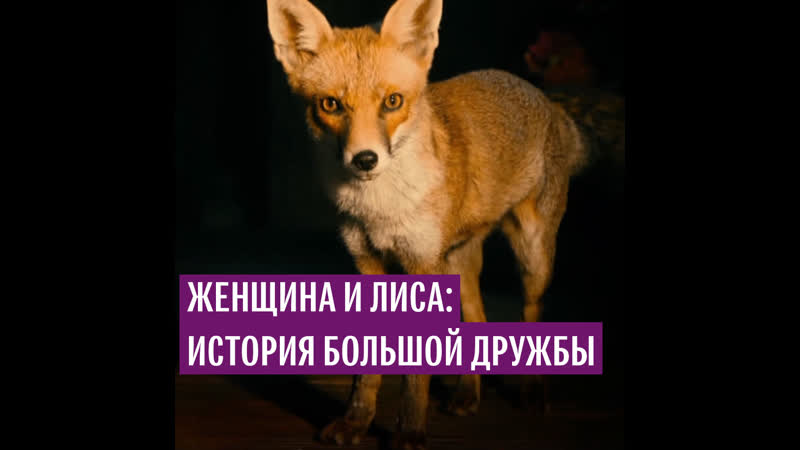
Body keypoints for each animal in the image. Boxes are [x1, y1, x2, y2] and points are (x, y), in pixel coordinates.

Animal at [266, 0, 621, 448]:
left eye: (393, 101)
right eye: (331, 105)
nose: (365, 159)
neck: (380, 210)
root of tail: (545, 98)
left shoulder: (421, 264)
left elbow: (416, 375)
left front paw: (409, 432)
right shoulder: (367, 262)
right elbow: (366, 372)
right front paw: (356, 422)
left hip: (533, 255)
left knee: (533, 311)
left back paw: (532, 393)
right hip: (457, 262)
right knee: (478, 320)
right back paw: (468, 395)